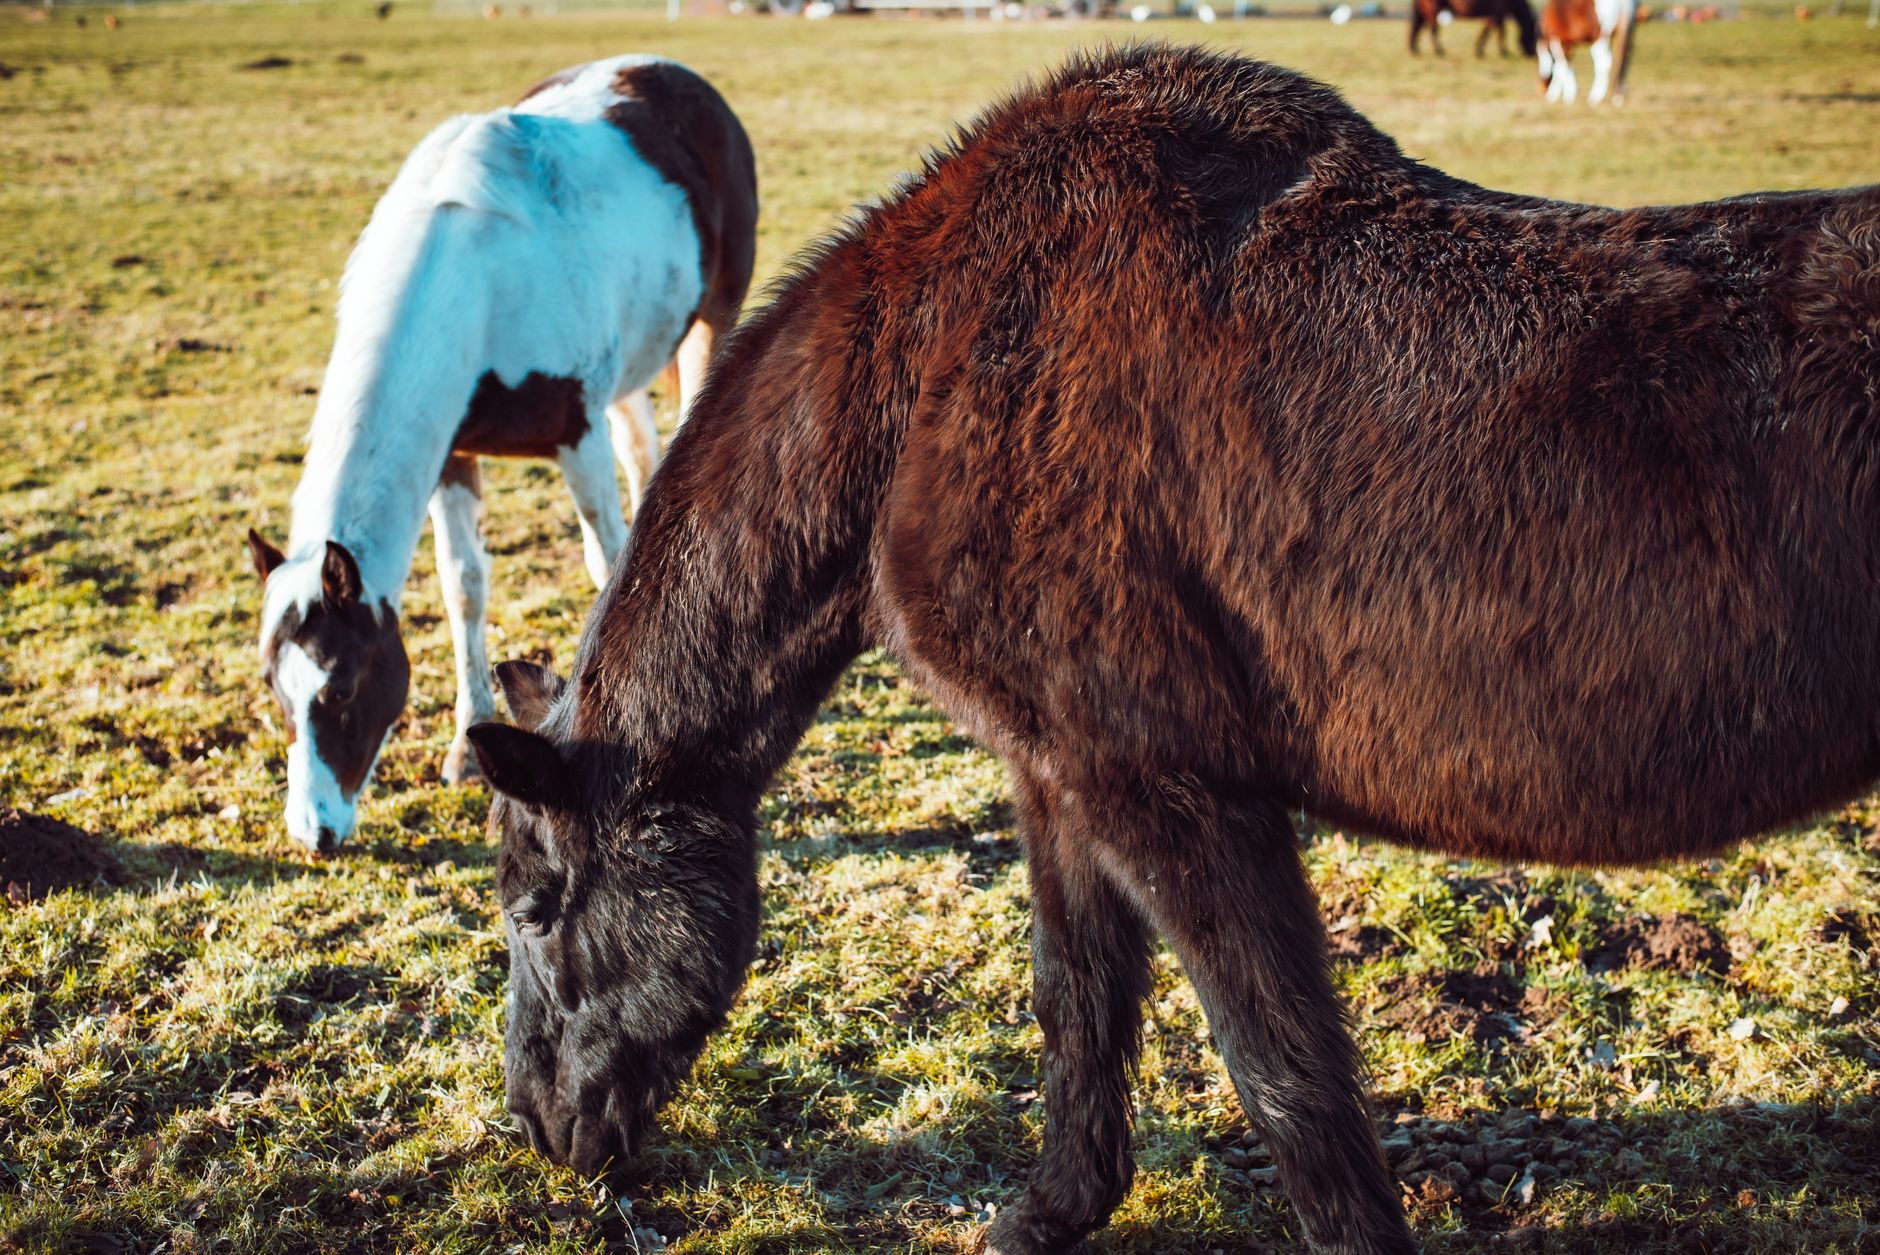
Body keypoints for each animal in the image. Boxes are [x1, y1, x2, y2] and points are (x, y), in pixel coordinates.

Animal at [246, 55, 757, 854]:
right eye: (276, 691)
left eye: (345, 686)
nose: (314, 831)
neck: (472, 282)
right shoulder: (452, 454)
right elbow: (463, 586)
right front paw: (464, 742)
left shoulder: (574, 435)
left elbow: (607, 568)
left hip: (710, 319)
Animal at [466, 44, 1879, 1255]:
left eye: (537, 906)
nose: (541, 1125)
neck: (935, 368)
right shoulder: (1058, 774)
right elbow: (1075, 996)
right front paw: (1053, 1208)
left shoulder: (1170, 788)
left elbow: (1280, 1069)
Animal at [1410, 0, 1539, 57]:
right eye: (1534, 36)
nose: (1532, 54)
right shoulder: (1497, 14)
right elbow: (1500, 32)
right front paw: (1503, 52)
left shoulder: (1491, 15)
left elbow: (1486, 31)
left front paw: (1479, 50)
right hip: (1434, 9)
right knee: (1433, 29)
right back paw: (1439, 51)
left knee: (1419, 28)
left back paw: (1415, 49)